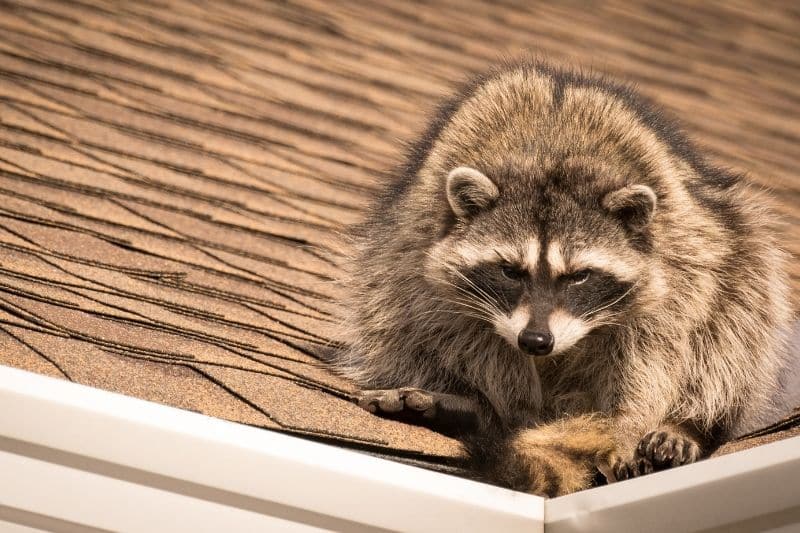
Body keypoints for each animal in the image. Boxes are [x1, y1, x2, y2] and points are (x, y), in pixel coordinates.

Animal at [332, 58, 792, 494]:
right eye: (510, 271)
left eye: (579, 276)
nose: (536, 341)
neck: (550, 157)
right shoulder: (423, 251)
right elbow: (458, 330)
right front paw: (507, 407)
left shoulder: (678, 264)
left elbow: (658, 349)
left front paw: (628, 425)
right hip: (389, 261)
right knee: (392, 315)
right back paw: (475, 407)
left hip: (735, 249)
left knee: (734, 321)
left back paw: (685, 425)